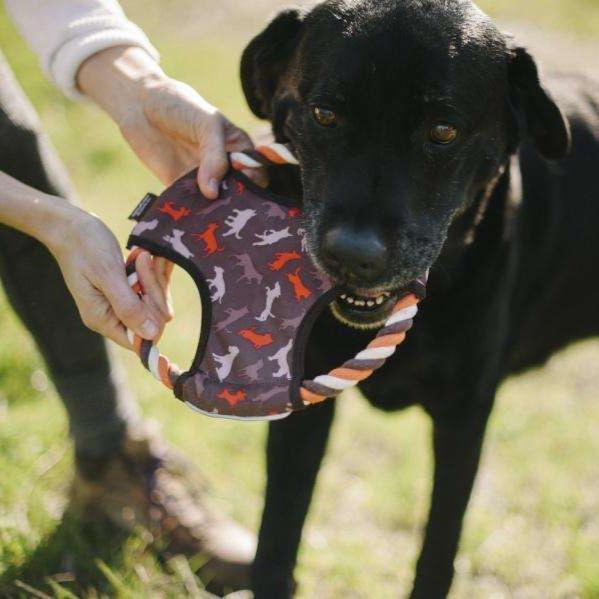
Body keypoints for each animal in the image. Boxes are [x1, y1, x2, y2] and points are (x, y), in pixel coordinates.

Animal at [240, 2, 599, 596]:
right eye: (325, 115)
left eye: (443, 131)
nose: (352, 255)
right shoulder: (305, 401)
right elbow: (278, 530)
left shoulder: (463, 415)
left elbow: (439, 547)